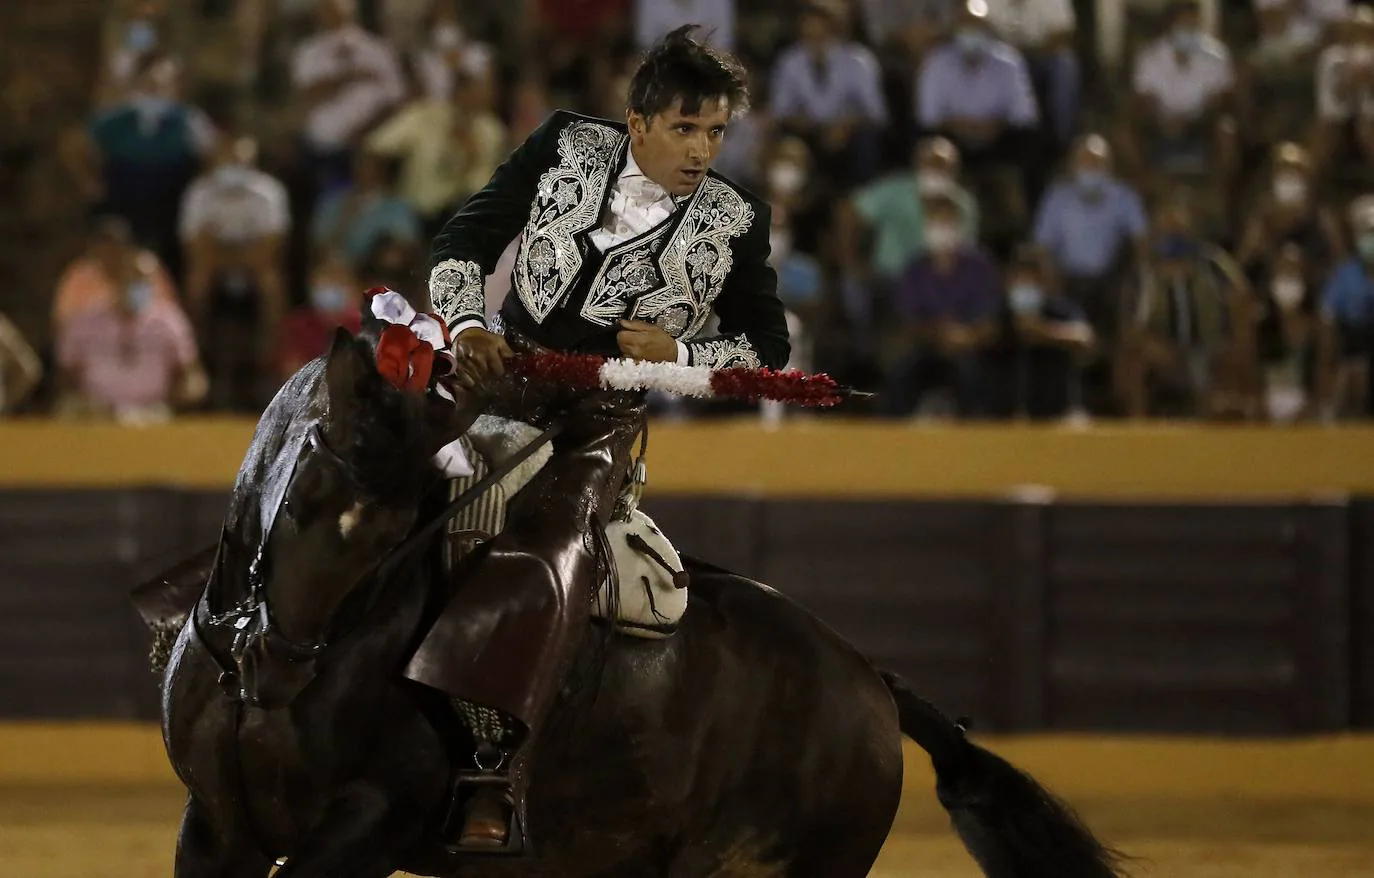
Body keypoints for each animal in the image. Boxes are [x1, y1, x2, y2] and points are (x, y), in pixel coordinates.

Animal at [150, 328, 1121, 878]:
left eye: (395, 528)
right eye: (306, 492)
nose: (277, 670)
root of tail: (871, 685)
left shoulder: (372, 824)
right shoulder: (215, 826)